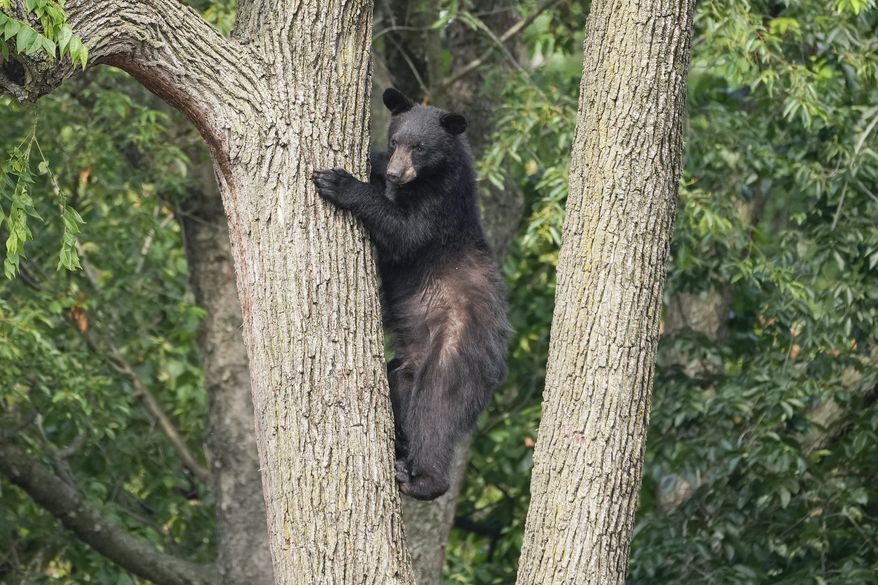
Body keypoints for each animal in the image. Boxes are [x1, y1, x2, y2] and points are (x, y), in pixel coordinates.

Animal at [311, 88, 511, 500]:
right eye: (395, 142)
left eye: (419, 147)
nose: (394, 172)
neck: (423, 181)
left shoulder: (439, 211)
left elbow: (404, 232)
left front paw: (338, 181)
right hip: (411, 363)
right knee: (401, 386)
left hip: (457, 348)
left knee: (437, 409)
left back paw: (422, 480)